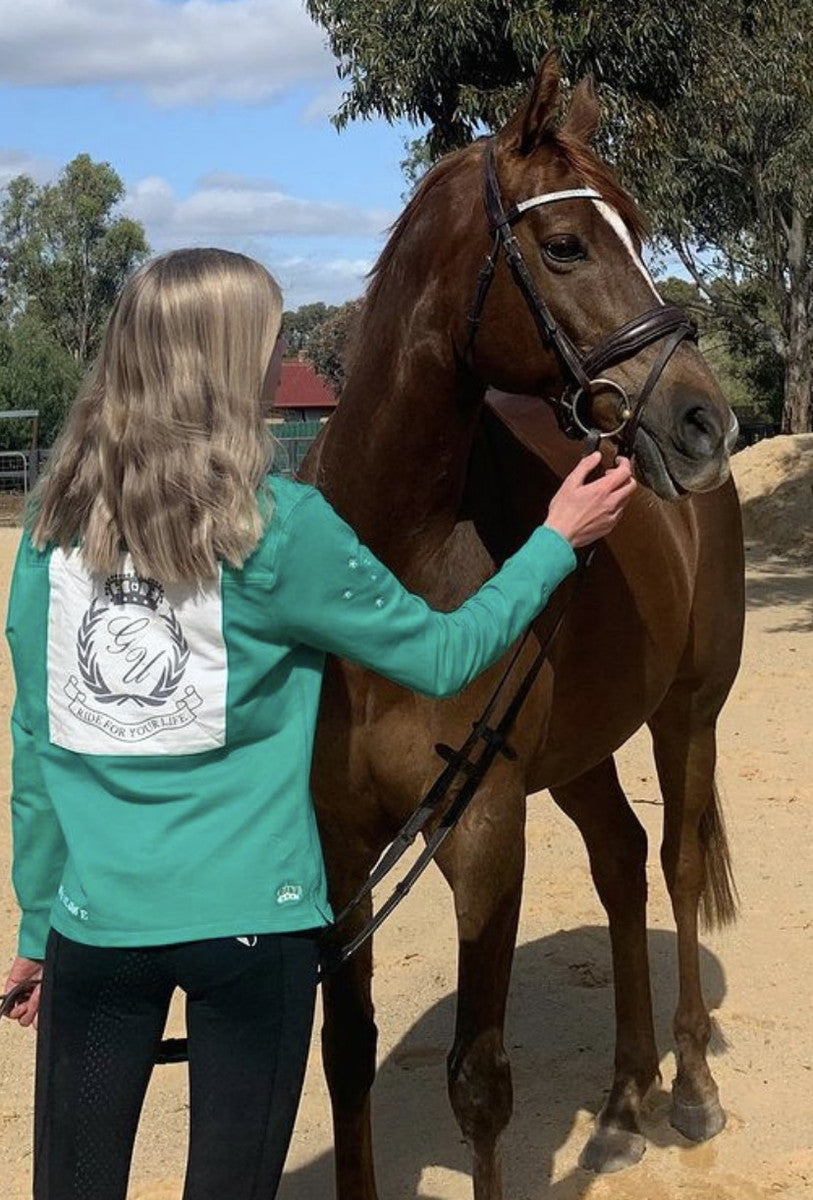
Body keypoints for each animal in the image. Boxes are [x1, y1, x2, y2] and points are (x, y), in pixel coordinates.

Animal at [301, 53, 744, 1200]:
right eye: (566, 245)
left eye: (639, 227)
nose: (704, 421)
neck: (391, 572)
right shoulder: (340, 843)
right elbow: (348, 1050)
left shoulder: (486, 830)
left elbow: (478, 1082)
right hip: (581, 750)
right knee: (622, 861)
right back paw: (626, 1099)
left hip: (686, 716)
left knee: (675, 864)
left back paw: (688, 1088)